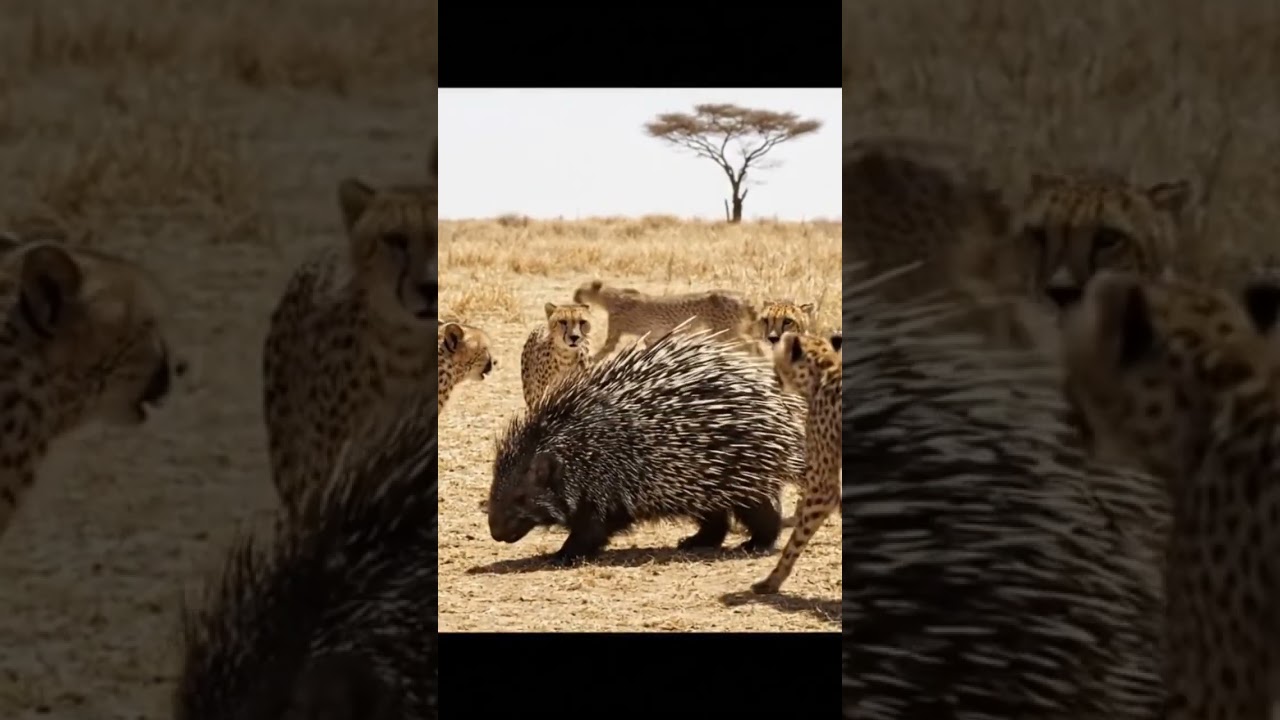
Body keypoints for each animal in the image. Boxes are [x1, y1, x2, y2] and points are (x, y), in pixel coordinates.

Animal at [572, 279, 756, 358]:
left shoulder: (615, 335)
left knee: (753, 344)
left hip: (725, 332)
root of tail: (744, 297)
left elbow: (603, 351)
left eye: (579, 291)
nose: (574, 297)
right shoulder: (651, 335)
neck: (609, 297)